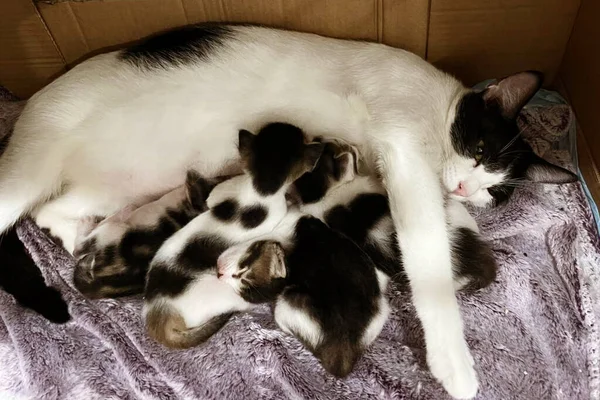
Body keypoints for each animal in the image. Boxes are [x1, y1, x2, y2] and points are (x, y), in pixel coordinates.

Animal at [0, 23, 576, 398]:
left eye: (496, 190)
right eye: (478, 150)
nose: (464, 187)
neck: (439, 110)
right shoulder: (406, 154)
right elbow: (427, 250)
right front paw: (452, 361)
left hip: (116, 187)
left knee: (53, 212)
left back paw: (87, 240)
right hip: (28, 169)